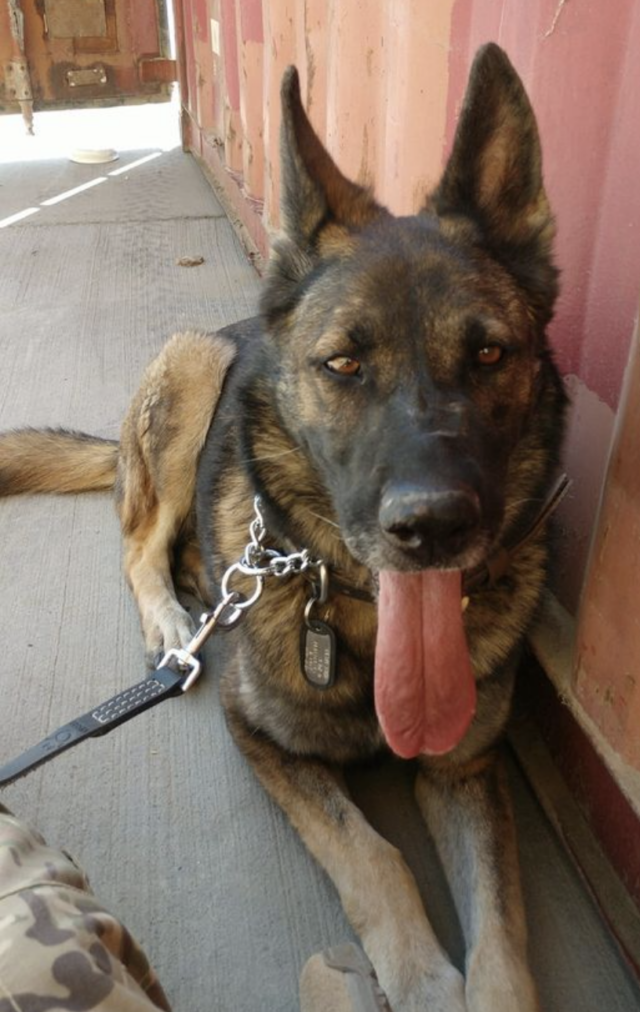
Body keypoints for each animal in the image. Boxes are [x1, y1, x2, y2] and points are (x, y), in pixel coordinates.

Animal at [2, 43, 567, 1007]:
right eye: (342, 364)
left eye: (491, 353)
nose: (434, 526)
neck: (364, 624)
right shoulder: (264, 740)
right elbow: (372, 856)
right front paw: (423, 980)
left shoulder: (466, 769)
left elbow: (504, 939)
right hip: (195, 365)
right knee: (138, 545)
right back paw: (175, 616)